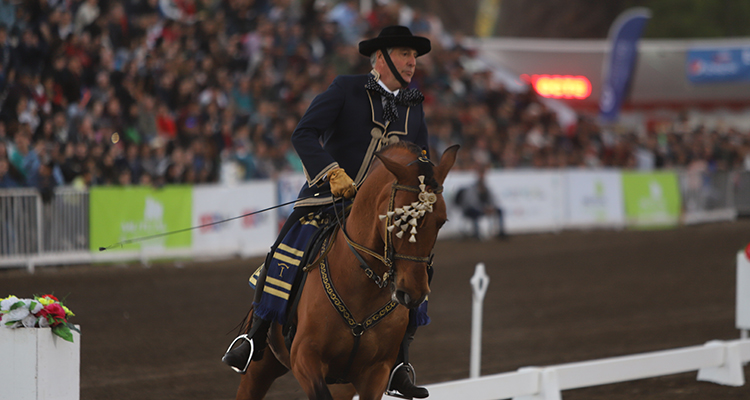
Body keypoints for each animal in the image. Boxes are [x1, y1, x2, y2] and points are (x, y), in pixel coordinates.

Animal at [236, 142, 458, 398]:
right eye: (400, 219)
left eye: (441, 221)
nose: (413, 293)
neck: (362, 288)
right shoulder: (305, 357)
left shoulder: (376, 372)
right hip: (260, 369)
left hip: (342, 383)